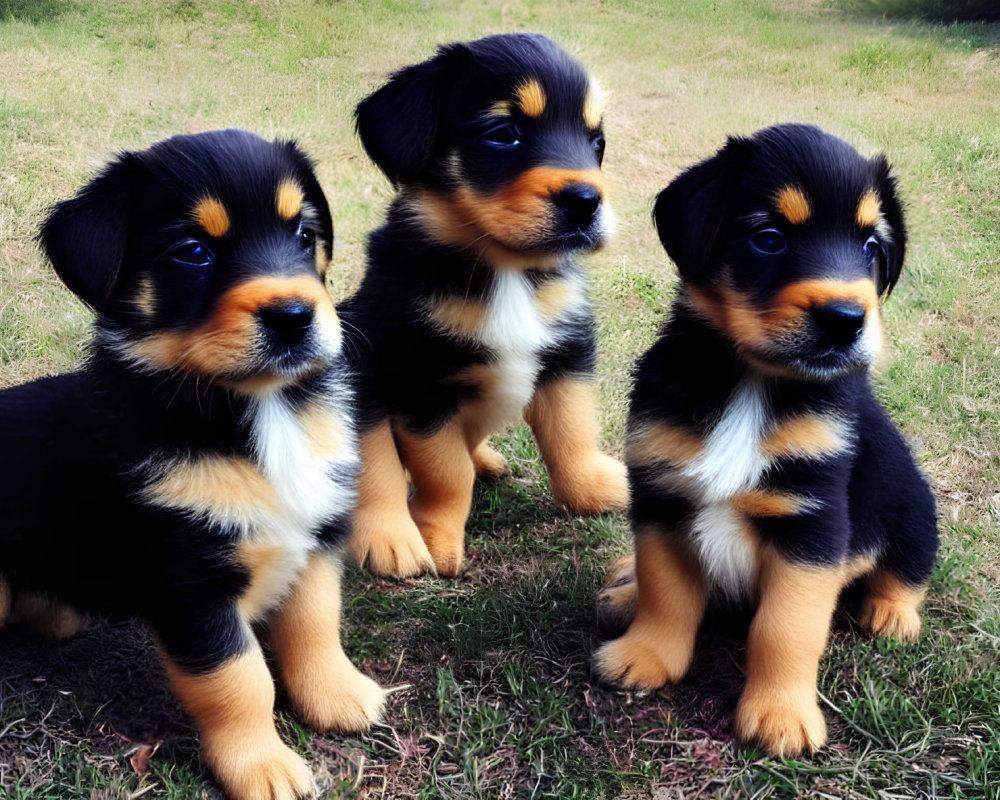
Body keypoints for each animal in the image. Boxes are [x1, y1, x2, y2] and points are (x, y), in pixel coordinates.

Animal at [0, 130, 384, 800]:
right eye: (193, 251)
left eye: (302, 233)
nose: (295, 317)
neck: (263, 411)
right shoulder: (190, 584)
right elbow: (240, 682)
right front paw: (262, 766)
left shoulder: (315, 539)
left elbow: (316, 627)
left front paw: (338, 696)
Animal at [342, 34, 624, 580]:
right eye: (503, 134)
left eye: (596, 142)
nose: (587, 202)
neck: (505, 270)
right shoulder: (423, 387)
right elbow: (446, 475)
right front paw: (438, 538)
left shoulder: (567, 355)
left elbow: (573, 435)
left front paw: (597, 490)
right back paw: (390, 539)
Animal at [592, 123, 936, 756]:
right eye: (769, 239)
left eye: (871, 246)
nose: (848, 319)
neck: (752, 383)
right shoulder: (662, 497)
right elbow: (665, 593)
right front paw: (645, 654)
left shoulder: (812, 525)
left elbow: (784, 629)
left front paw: (781, 714)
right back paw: (624, 588)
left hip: (911, 502)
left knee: (908, 564)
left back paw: (892, 612)